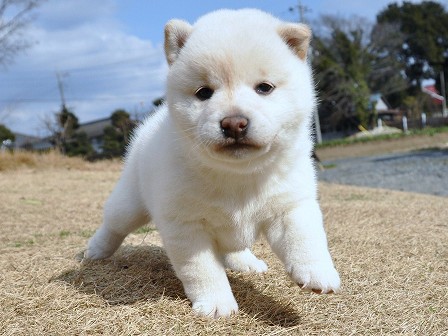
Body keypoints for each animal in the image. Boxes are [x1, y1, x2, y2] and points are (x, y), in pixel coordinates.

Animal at [86, 7, 340, 318]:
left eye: (264, 88)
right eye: (204, 92)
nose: (234, 123)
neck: (238, 175)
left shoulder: (289, 204)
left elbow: (305, 237)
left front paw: (318, 272)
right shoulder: (185, 224)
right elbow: (202, 269)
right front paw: (216, 302)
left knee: (233, 245)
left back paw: (246, 261)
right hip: (130, 203)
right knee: (114, 224)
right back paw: (96, 250)